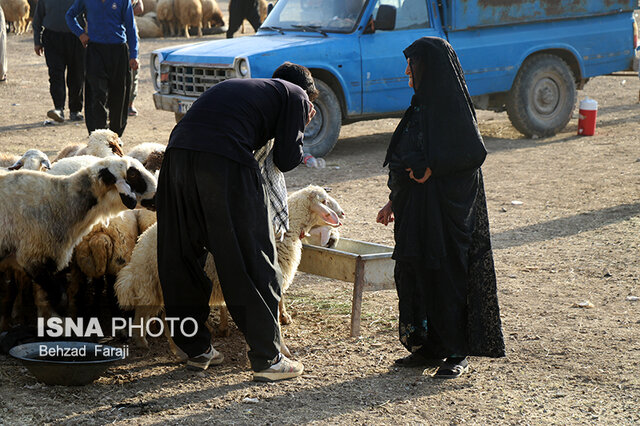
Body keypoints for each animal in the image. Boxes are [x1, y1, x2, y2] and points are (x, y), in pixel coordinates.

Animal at [117, 185, 342, 354]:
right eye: (325, 201)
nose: (341, 214)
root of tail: (139, 250)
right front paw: (281, 346)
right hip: (161, 283)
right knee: (155, 317)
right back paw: (156, 346)